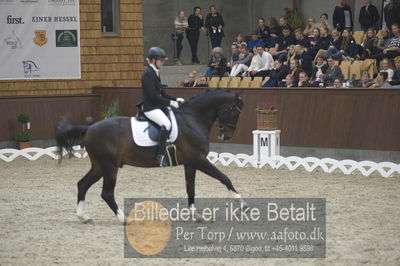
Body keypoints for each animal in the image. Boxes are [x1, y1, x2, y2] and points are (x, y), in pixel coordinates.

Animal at [55, 88, 245, 223]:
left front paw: (196, 215)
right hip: (109, 166)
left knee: (83, 184)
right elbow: (224, 177)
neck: (193, 119)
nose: (226, 136)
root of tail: (89, 128)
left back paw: (83, 216)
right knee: (106, 193)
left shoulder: (191, 163)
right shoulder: (199, 159)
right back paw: (123, 219)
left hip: (99, 166)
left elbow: (190, 188)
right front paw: (242, 203)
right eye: (235, 112)